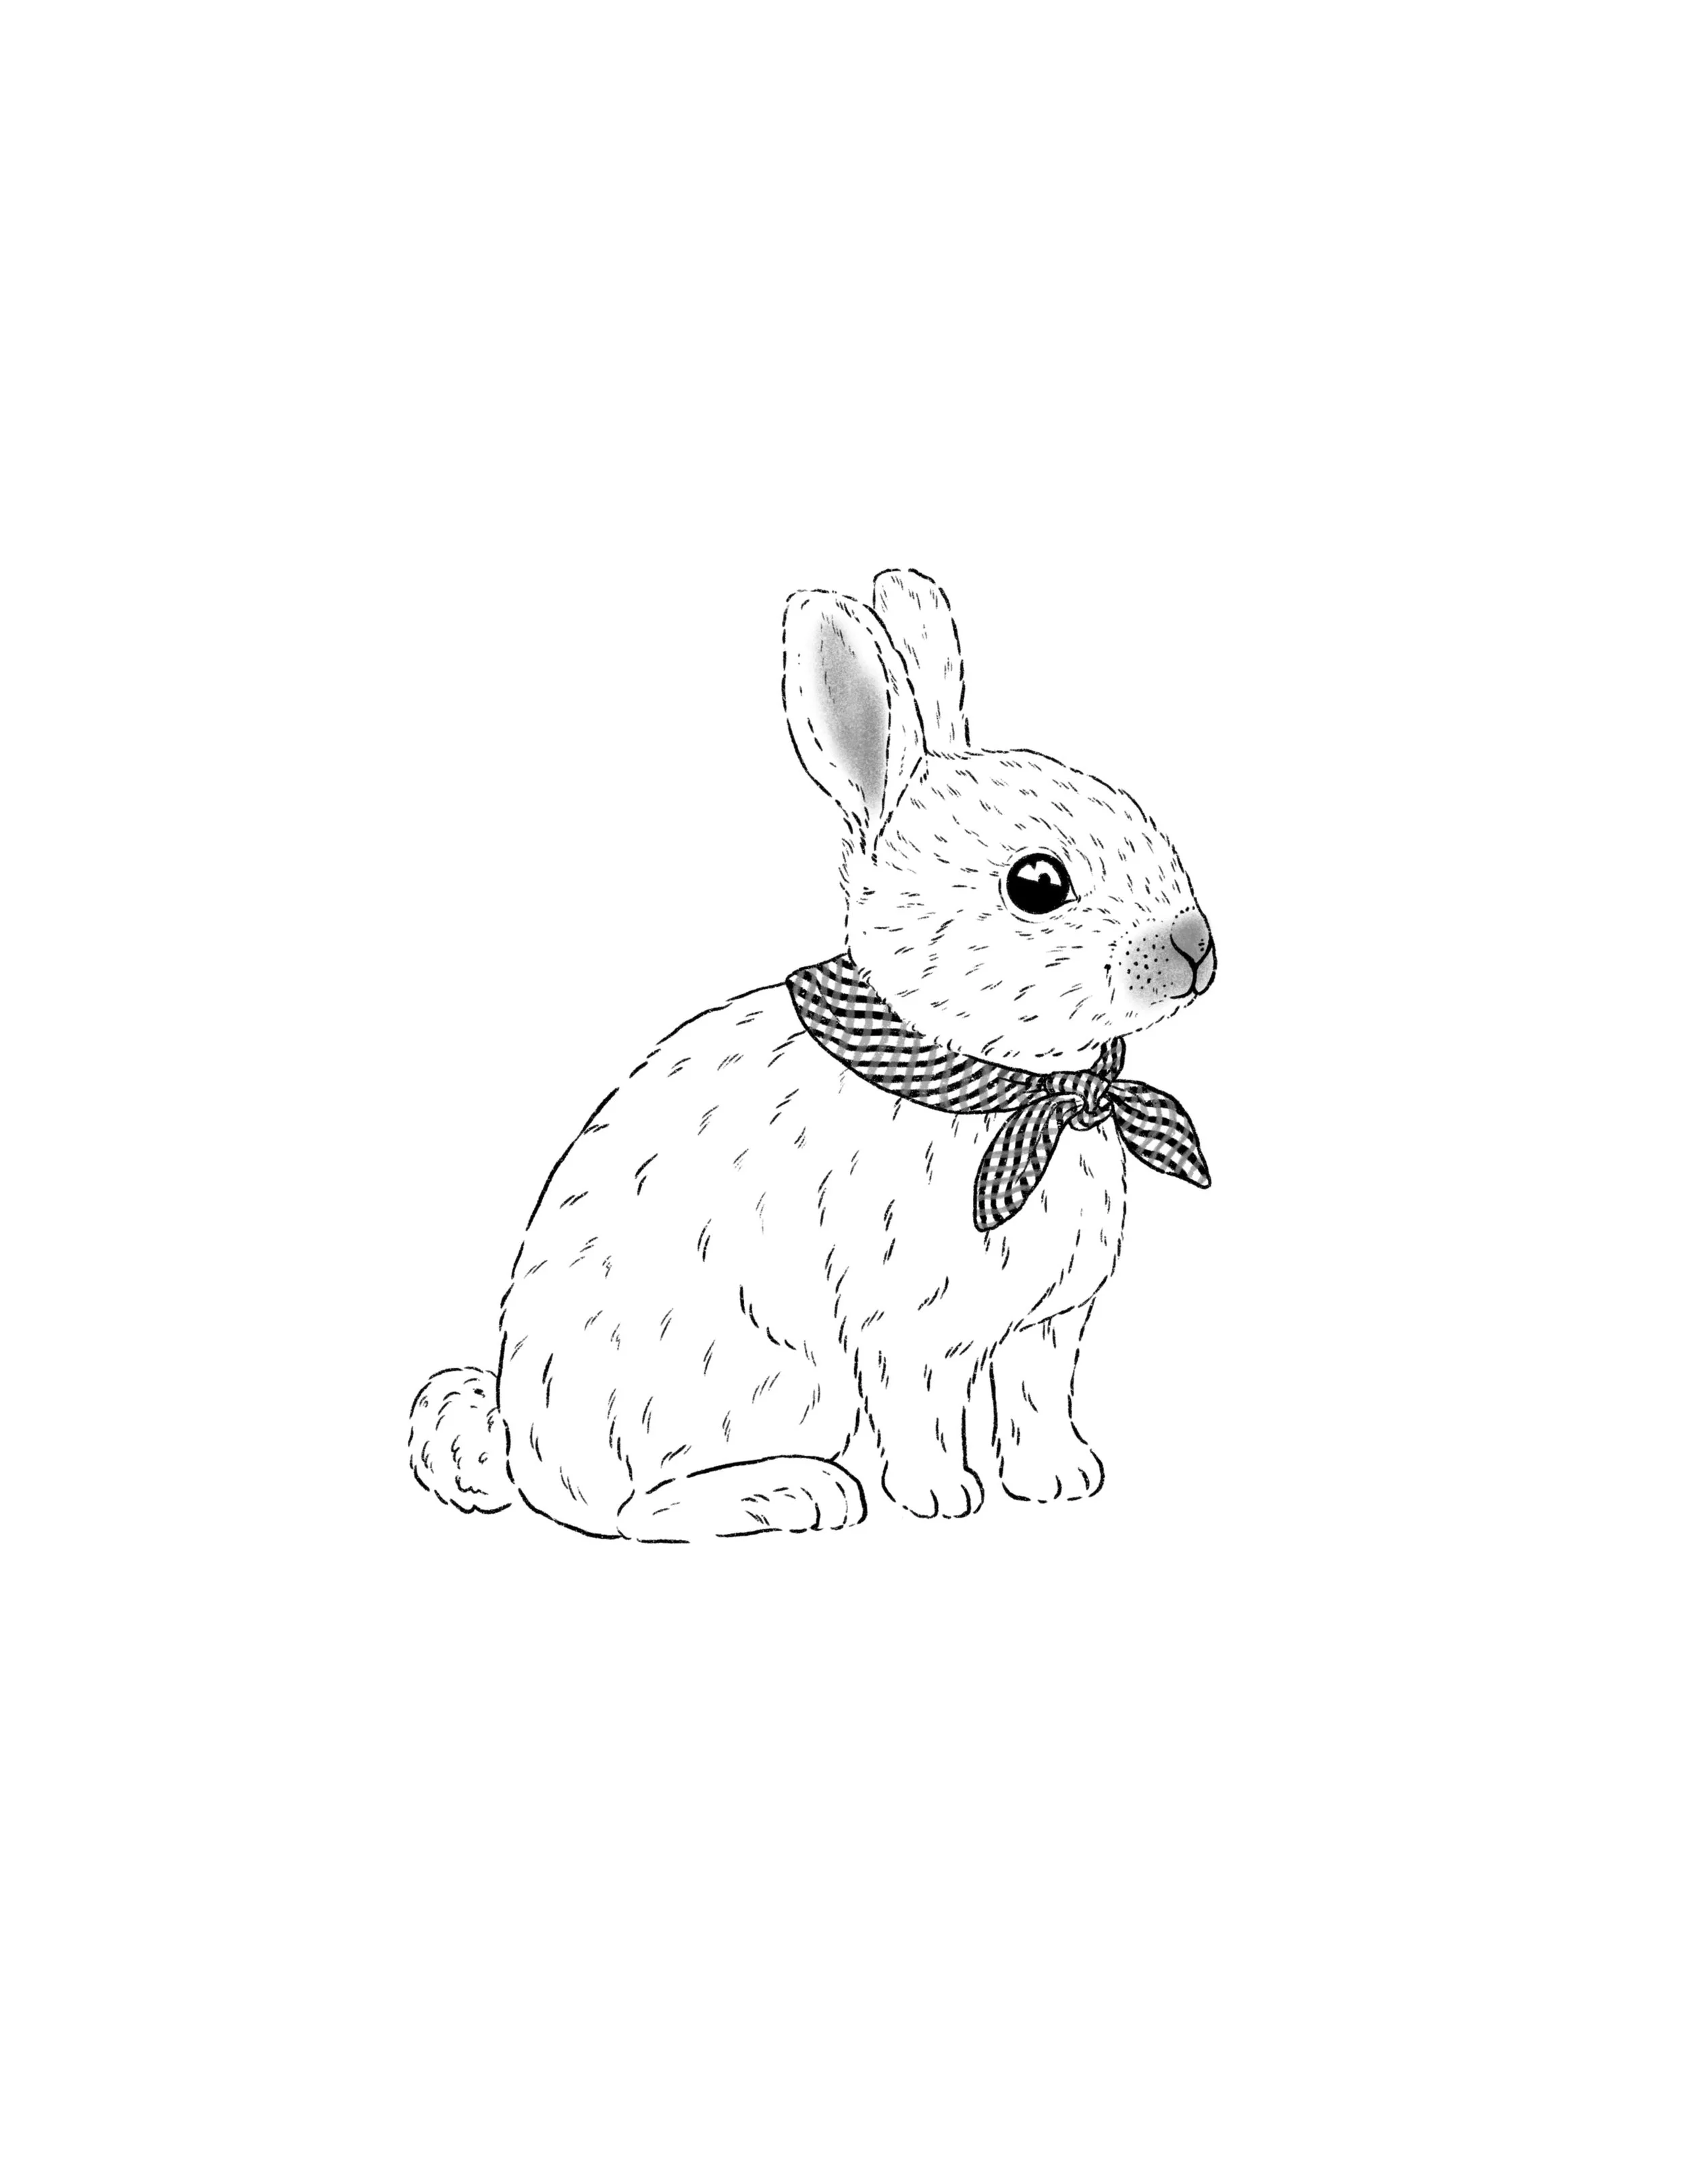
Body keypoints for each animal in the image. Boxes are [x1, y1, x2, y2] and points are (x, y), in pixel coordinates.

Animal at [409, 569, 1216, 1541]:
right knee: (637, 1510)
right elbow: (922, 1416)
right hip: (773, 1385)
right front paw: (943, 1499)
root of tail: (522, 1443)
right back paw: (801, 1492)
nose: (1195, 945)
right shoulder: (902, 1336)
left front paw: (1061, 1479)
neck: (1005, 1090)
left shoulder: (1046, 1326)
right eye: (1037, 884)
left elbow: (1035, 1402)